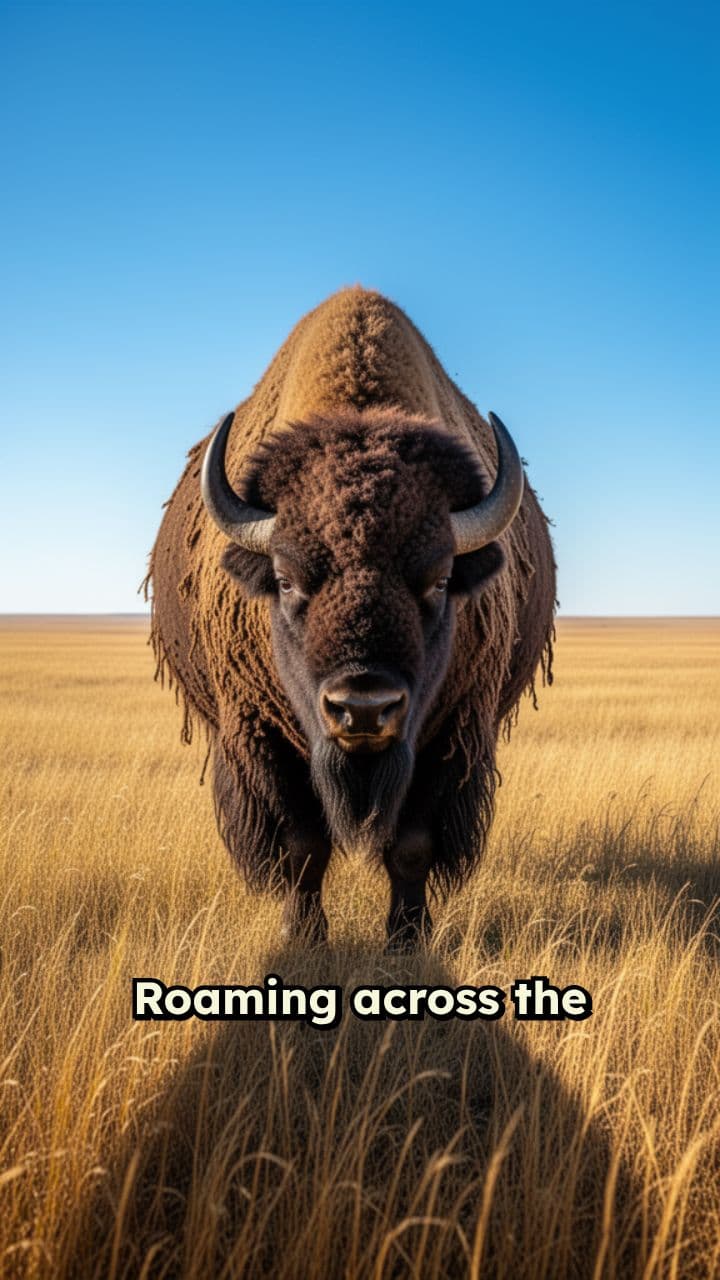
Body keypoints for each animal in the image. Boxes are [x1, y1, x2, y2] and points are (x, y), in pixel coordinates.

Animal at [147, 287, 556, 947]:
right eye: (285, 579)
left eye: (441, 579)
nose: (363, 707)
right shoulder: (266, 737)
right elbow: (302, 847)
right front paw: (305, 936)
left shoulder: (448, 733)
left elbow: (412, 845)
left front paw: (407, 936)